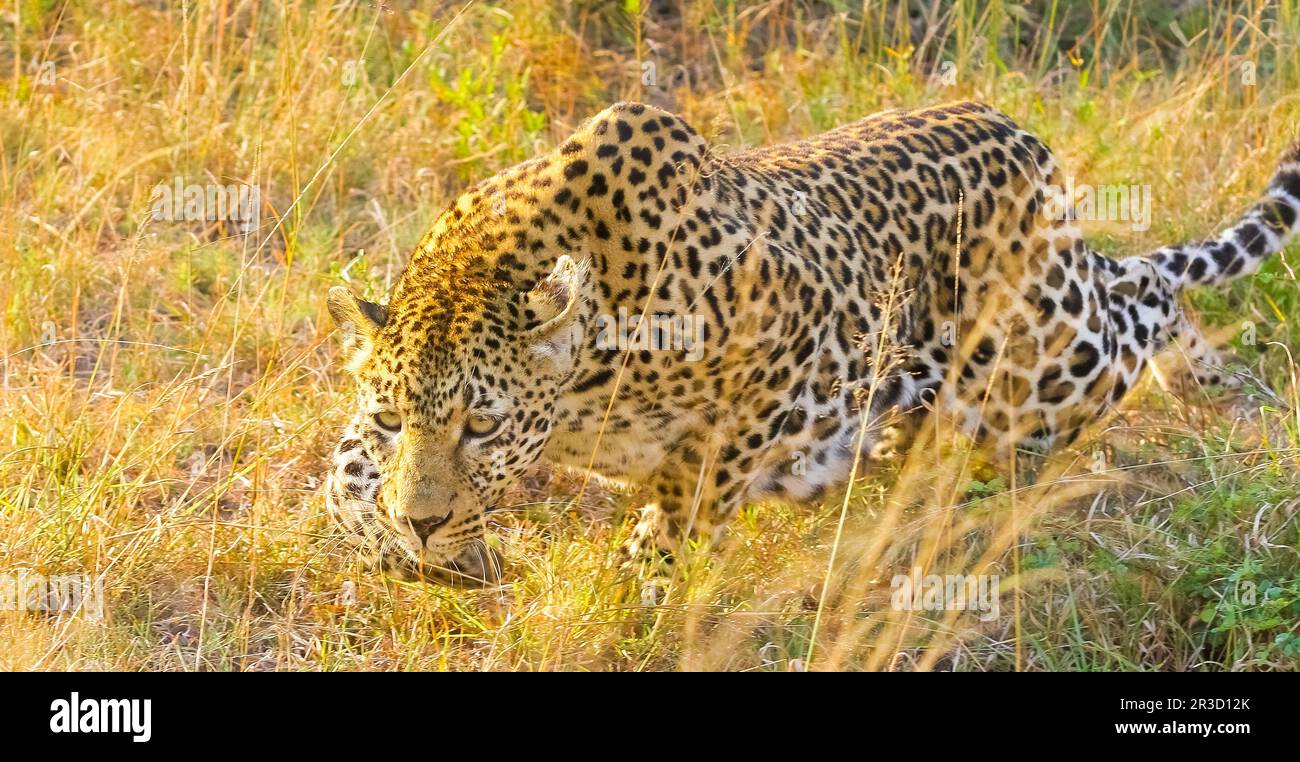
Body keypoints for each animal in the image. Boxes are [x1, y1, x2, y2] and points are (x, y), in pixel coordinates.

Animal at [323, 100, 1300, 586]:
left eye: (482, 428)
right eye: (392, 419)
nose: (423, 524)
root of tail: (1027, 141)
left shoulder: (784, 353)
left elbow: (691, 486)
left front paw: (641, 579)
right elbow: (344, 472)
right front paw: (391, 538)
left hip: (1045, 362)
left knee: (1146, 293)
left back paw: (1209, 383)